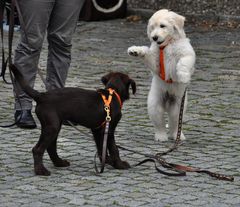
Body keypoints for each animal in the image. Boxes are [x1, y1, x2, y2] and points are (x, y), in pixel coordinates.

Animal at [127, 9, 195, 142]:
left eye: (162, 26)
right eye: (152, 28)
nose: (154, 37)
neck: (166, 45)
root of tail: (168, 101)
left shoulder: (187, 53)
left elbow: (183, 63)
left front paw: (183, 76)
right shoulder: (156, 62)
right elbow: (147, 53)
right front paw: (136, 50)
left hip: (178, 106)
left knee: (175, 123)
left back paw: (177, 136)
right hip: (155, 104)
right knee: (160, 124)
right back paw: (161, 137)